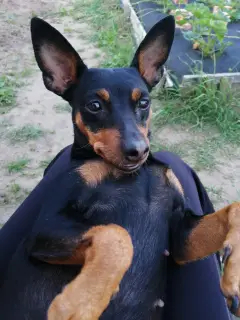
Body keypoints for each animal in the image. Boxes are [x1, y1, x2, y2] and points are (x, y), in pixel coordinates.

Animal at [0, 14, 240, 320]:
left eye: (144, 102)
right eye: (94, 105)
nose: (138, 151)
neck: (135, 175)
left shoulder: (181, 239)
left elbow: (234, 210)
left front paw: (234, 276)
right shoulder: (44, 228)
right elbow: (116, 234)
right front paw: (78, 303)